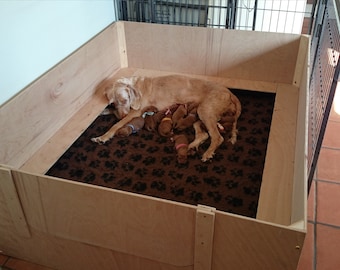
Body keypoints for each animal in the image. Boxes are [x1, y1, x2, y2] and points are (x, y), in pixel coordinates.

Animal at [92, 75, 242, 161]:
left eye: (124, 100)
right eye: (113, 103)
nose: (121, 115)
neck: (135, 85)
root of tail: (229, 92)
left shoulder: (135, 112)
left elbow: (116, 125)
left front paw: (103, 136)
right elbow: (111, 112)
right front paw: (104, 112)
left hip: (205, 111)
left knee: (217, 137)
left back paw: (207, 153)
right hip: (201, 114)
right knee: (203, 134)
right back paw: (191, 146)